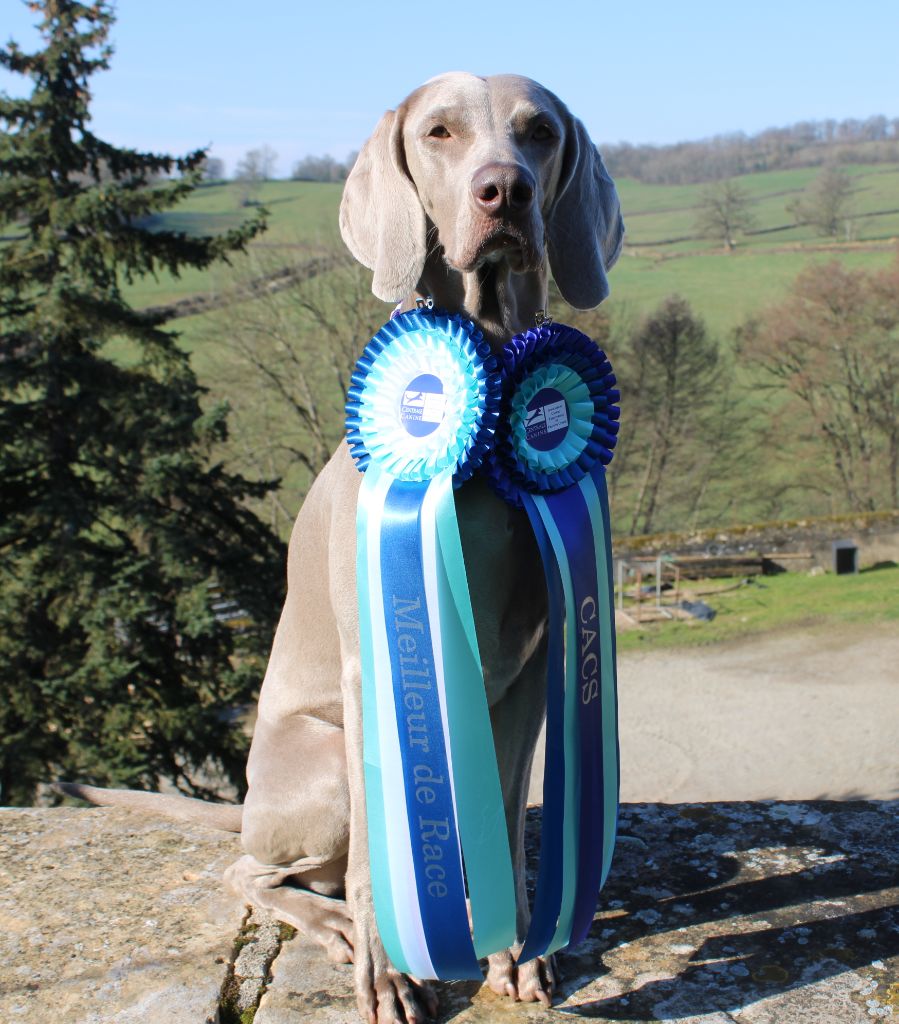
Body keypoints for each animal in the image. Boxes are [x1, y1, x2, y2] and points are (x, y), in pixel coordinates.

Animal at [65, 72, 626, 1024]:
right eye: (438, 132)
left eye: (539, 132)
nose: (503, 191)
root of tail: (248, 804)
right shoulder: (381, 671)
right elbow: (374, 861)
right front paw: (390, 972)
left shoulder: (529, 667)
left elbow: (509, 812)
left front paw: (513, 951)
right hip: (320, 764)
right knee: (251, 871)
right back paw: (328, 925)